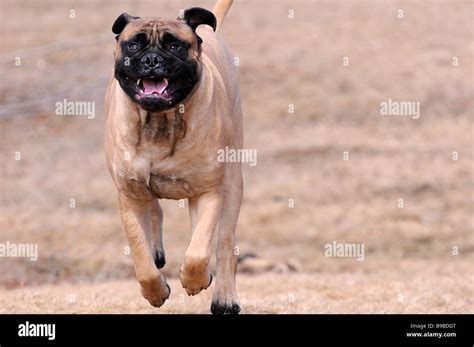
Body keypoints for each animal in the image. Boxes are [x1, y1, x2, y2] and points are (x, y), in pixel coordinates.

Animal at [105, 0, 243, 316]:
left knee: (224, 243)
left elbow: (199, 250)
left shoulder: (207, 190)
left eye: (175, 45)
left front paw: (195, 280)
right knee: (155, 213)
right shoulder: (129, 195)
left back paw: (224, 297)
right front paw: (155, 291)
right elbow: (140, 255)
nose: (152, 60)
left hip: (232, 183)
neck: (160, 122)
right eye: (134, 45)